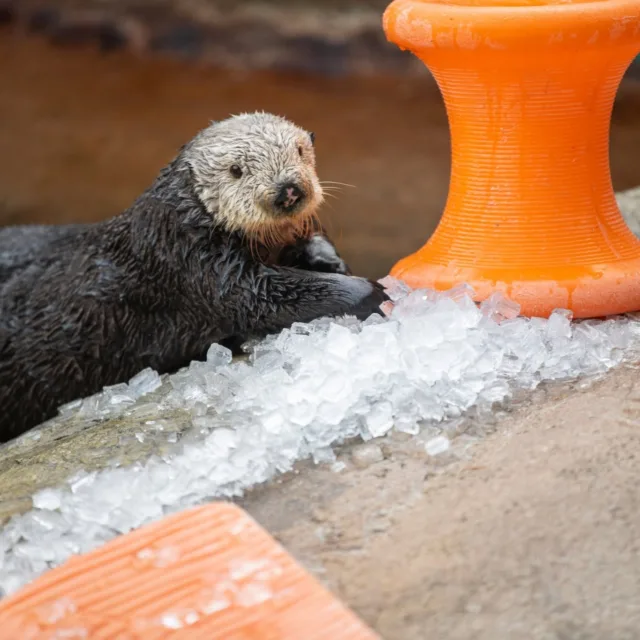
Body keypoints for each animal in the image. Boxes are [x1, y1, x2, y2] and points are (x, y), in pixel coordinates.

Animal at [0, 112, 387, 442]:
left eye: (300, 150)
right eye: (236, 170)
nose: (287, 190)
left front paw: (329, 259)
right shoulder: (197, 265)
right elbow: (261, 297)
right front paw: (372, 293)